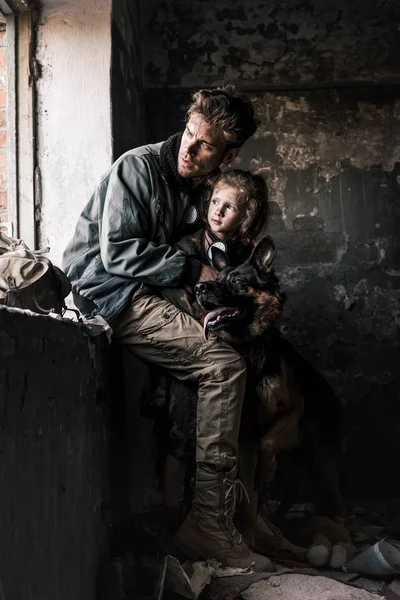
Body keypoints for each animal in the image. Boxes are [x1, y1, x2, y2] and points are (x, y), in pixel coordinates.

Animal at [195, 237, 346, 548]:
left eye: (238, 281)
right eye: (216, 279)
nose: (199, 287)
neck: (250, 347)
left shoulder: (292, 411)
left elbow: (267, 445)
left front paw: (265, 471)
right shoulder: (245, 439)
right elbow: (248, 496)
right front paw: (249, 533)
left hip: (320, 454)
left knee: (335, 492)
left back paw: (340, 524)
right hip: (297, 462)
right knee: (290, 490)